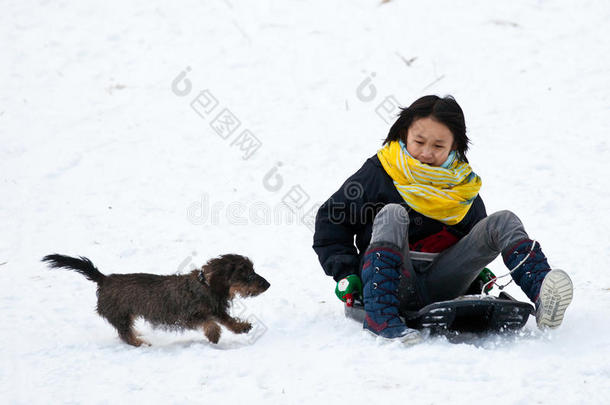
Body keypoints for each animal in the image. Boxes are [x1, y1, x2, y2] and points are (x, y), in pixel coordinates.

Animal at [41, 252, 270, 344]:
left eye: (253, 270)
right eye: (247, 273)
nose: (268, 284)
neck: (205, 285)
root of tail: (104, 279)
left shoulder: (217, 309)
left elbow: (226, 320)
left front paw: (242, 327)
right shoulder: (187, 316)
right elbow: (209, 322)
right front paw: (214, 335)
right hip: (121, 315)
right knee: (125, 336)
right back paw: (139, 343)